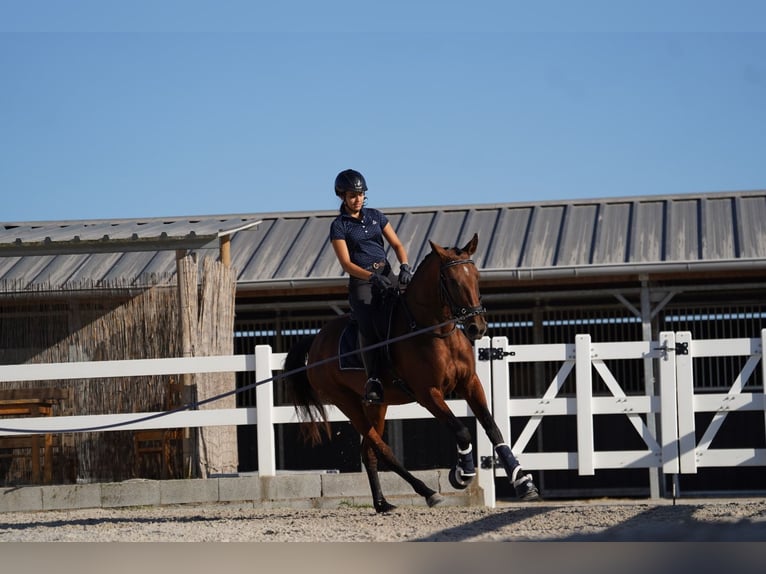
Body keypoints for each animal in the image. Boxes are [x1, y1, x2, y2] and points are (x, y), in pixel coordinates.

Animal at [284, 234, 544, 512]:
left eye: (476, 277)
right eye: (452, 281)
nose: (477, 327)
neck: (435, 331)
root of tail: (316, 341)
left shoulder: (470, 383)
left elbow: (492, 428)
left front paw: (523, 483)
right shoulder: (428, 393)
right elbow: (461, 431)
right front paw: (462, 474)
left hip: (377, 405)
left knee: (369, 450)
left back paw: (382, 503)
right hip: (347, 403)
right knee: (382, 448)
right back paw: (428, 492)